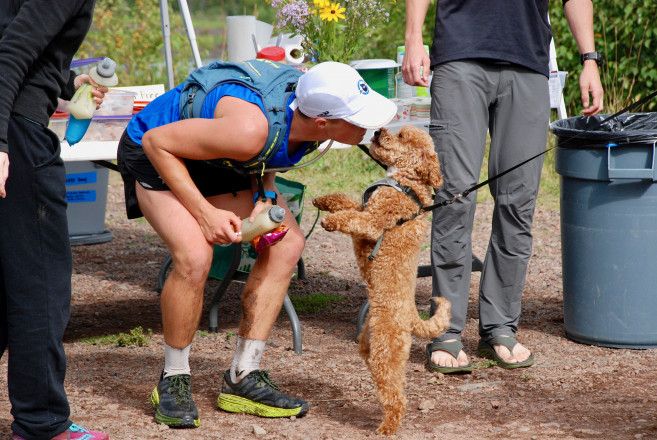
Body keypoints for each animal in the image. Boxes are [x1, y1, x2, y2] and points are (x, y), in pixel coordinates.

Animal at [312, 125, 452, 434]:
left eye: (401, 137)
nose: (378, 130)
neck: (406, 182)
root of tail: (411, 315)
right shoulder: (365, 207)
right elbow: (347, 202)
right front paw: (324, 201)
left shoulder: (374, 222)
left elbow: (351, 218)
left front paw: (329, 221)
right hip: (368, 341)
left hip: (384, 351)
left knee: (396, 395)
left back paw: (387, 426)